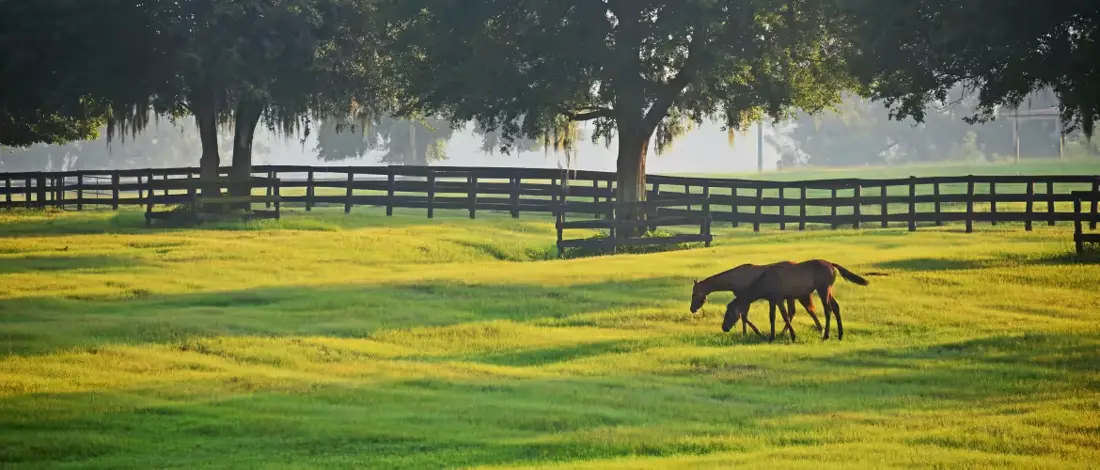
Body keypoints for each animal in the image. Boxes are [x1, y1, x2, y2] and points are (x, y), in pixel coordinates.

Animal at [691, 262, 824, 337]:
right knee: (794, 312)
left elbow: (744, 317)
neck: (736, 277)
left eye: (694, 294)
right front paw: (745, 333)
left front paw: (756, 332)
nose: (692, 309)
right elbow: (743, 317)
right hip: (791, 297)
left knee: (805, 310)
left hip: (798, 296)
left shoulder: (746, 299)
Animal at [724, 259, 870, 342]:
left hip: (823, 289)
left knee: (828, 310)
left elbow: (785, 316)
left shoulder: (779, 299)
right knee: (836, 307)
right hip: (829, 290)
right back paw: (840, 335)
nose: (724, 327)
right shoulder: (772, 300)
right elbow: (772, 317)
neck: (765, 280)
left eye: (729, 314)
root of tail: (831, 265)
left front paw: (793, 336)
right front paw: (772, 337)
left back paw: (826, 335)